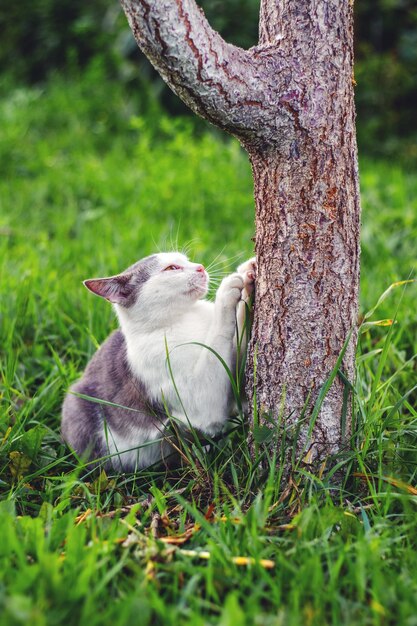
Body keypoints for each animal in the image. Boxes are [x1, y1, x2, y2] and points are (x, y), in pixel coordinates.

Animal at [60, 251, 255, 470]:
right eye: (171, 268)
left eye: (187, 260)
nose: (200, 267)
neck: (185, 318)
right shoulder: (202, 405)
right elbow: (216, 342)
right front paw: (228, 289)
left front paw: (248, 275)